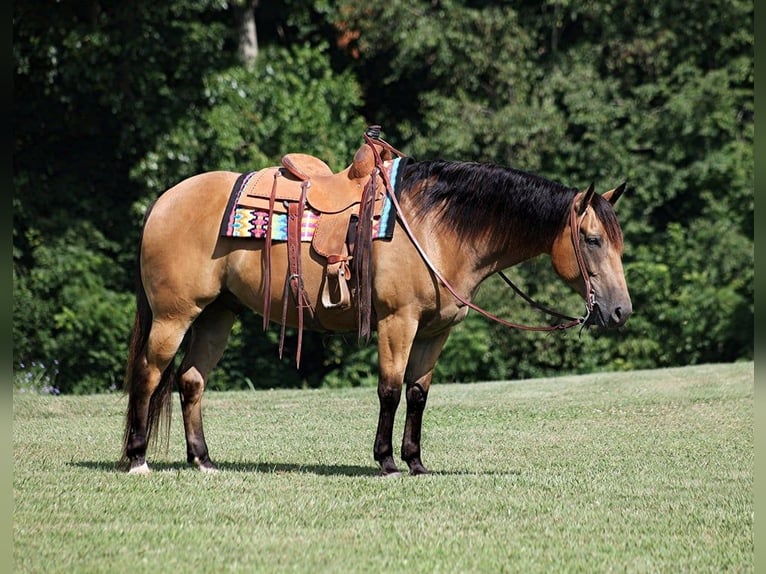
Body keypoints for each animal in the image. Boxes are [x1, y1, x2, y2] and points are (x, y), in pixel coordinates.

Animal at [119, 142, 632, 477]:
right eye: (592, 239)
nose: (621, 311)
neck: (435, 228)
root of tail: (163, 201)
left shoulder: (434, 332)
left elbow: (418, 394)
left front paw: (416, 462)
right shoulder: (397, 322)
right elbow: (389, 389)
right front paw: (385, 460)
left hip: (216, 316)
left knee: (191, 381)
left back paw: (203, 460)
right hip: (174, 316)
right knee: (149, 374)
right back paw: (139, 458)